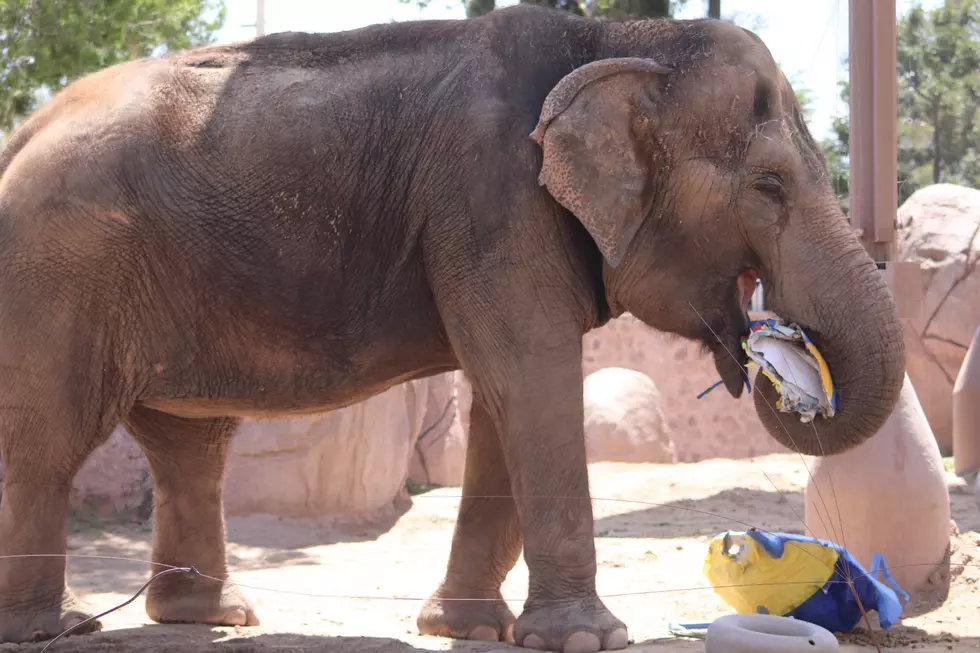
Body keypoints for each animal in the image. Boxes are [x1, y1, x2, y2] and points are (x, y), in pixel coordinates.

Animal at [0, 5, 904, 652]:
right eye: (770, 185)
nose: (771, 353)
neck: (617, 41)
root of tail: (22, 133)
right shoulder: (490, 198)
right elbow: (531, 377)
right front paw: (585, 639)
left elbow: (504, 400)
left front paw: (469, 628)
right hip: (58, 274)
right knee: (49, 443)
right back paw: (57, 628)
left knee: (189, 444)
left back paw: (207, 617)